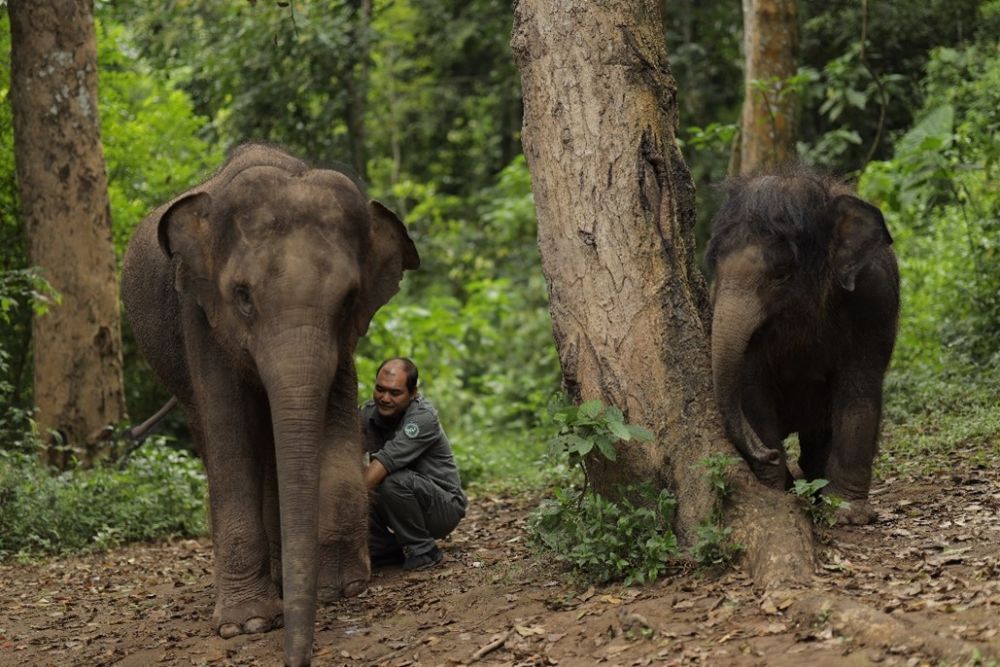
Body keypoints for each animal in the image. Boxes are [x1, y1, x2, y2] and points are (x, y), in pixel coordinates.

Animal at [121, 145, 418, 667]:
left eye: (349, 299)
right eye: (242, 296)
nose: (296, 658)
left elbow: (332, 420)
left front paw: (340, 588)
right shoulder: (198, 313)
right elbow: (229, 432)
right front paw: (247, 624)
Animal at [704, 168, 900, 528]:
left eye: (781, 273)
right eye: (715, 269)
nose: (767, 454)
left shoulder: (875, 298)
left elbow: (859, 389)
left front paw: (848, 513)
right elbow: (752, 388)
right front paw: (775, 490)